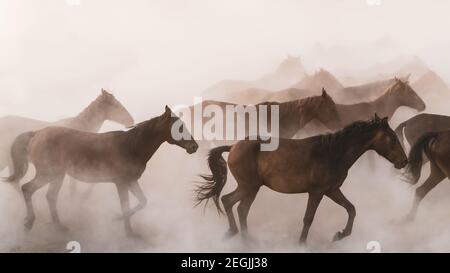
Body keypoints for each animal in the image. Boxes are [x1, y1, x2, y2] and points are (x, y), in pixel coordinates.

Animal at [2, 105, 198, 235]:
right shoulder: (121, 183)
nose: (194, 147)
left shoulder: (131, 181)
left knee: (49, 196)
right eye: (179, 127)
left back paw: (59, 226)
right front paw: (125, 227)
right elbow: (126, 205)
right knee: (27, 189)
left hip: (57, 175)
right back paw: (29, 222)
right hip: (48, 173)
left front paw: (121, 222)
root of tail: (36, 134)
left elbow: (143, 202)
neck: (131, 146)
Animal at [195, 112, 406, 242]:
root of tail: (233, 147)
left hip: (250, 188)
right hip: (249, 186)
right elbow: (308, 218)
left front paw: (340, 234)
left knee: (237, 206)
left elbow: (351, 209)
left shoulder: (332, 190)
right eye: (393, 138)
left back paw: (242, 237)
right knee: (232, 203)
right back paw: (242, 238)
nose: (404, 161)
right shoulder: (317, 192)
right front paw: (302, 243)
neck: (333, 152)